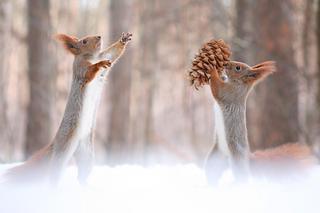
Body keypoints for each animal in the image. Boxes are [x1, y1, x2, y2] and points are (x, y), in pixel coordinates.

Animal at [2, 31, 132, 185]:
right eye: (84, 41)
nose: (99, 36)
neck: (92, 57)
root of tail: (56, 142)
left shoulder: (104, 56)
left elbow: (113, 54)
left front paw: (124, 39)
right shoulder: (80, 68)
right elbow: (88, 72)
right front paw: (99, 64)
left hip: (87, 154)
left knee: (82, 173)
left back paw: (85, 186)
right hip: (63, 150)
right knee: (55, 173)